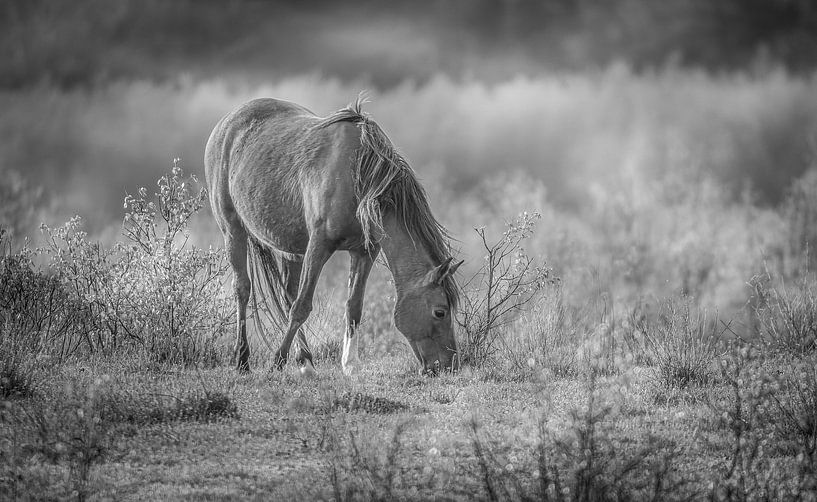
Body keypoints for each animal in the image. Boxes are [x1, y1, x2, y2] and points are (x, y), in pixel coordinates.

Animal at [204, 96, 462, 376]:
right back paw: (242, 359)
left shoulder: (364, 251)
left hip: (291, 249)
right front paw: (277, 361)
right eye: (440, 312)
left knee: (288, 295)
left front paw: (350, 364)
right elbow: (302, 307)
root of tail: (228, 122)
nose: (449, 366)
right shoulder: (319, 245)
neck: (359, 176)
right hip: (233, 230)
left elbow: (353, 306)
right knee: (243, 289)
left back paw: (306, 362)